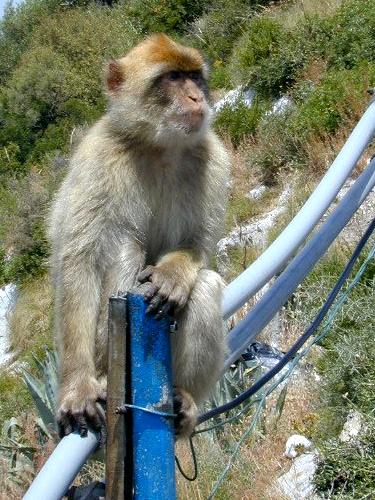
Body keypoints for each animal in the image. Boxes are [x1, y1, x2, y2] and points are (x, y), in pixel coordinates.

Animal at [48, 33, 231, 440]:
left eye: (194, 77)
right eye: (173, 78)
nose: (197, 97)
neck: (159, 146)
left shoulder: (212, 158)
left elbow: (198, 245)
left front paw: (173, 275)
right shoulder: (97, 157)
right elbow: (79, 262)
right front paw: (77, 387)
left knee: (205, 285)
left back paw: (184, 400)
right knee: (125, 247)